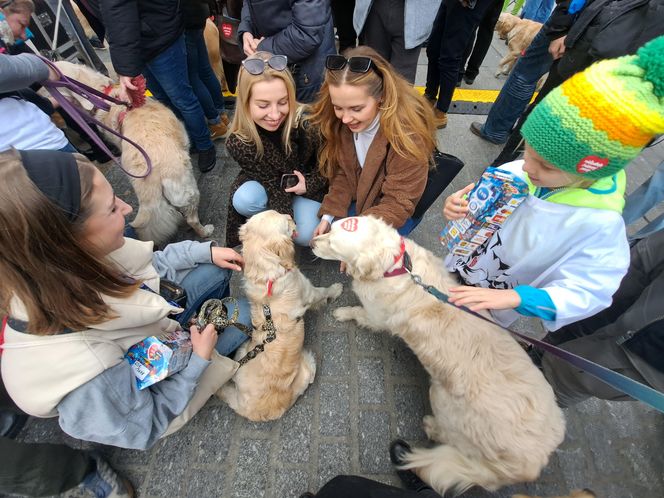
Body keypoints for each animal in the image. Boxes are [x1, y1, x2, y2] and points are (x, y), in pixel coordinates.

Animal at [218, 210, 342, 420]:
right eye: (286, 222)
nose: (293, 217)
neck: (266, 277)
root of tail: (249, 410)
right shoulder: (309, 292)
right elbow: (323, 292)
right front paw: (336, 289)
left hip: (242, 353)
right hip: (308, 364)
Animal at [312, 216, 564, 496]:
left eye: (333, 244)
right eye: (331, 228)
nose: (312, 242)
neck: (397, 268)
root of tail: (535, 461)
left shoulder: (376, 316)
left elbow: (358, 313)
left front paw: (343, 312)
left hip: (444, 401)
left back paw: (431, 427)